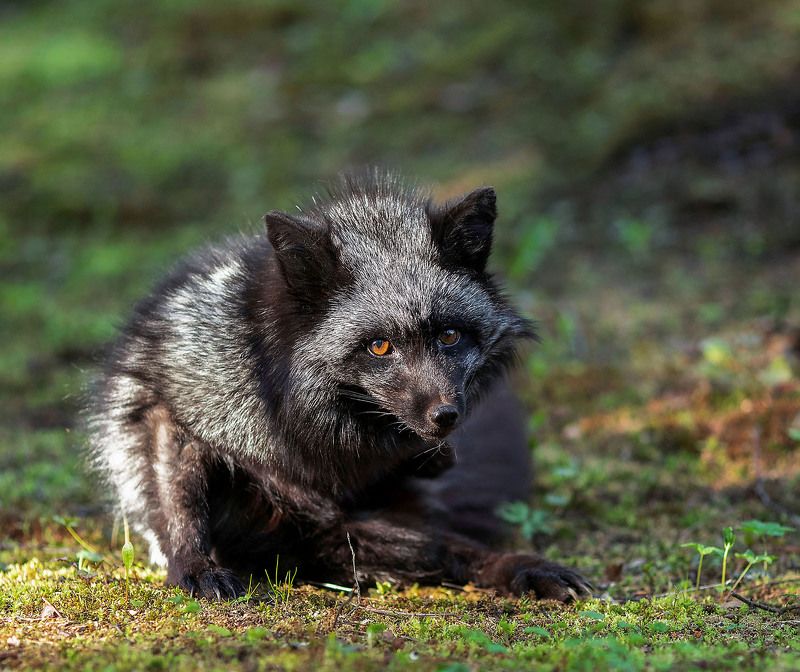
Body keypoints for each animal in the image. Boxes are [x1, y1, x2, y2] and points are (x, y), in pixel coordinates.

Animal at [86, 173, 591, 602]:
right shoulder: (174, 403)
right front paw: (194, 566)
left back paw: (527, 567)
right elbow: (180, 500)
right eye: (379, 346)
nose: (445, 417)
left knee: (445, 548)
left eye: (450, 336)